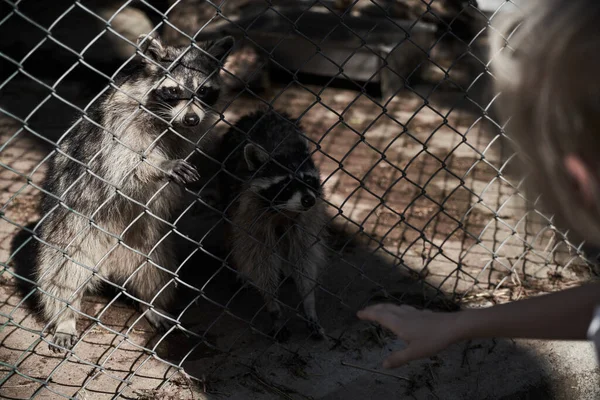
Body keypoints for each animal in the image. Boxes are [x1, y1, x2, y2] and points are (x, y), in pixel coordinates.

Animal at [35, 35, 236, 354]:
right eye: (174, 91)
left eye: (204, 91)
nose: (191, 119)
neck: (167, 119)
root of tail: (109, 264)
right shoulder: (120, 122)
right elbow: (124, 165)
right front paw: (158, 165)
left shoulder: (194, 132)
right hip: (71, 229)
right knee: (60, 273)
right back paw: (64, 316)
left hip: (148, 245)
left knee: (157, 273)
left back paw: (154, 305)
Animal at [218, 109, 326, 340]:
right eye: (286, 185)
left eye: (308, 180)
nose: (308, 200)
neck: (284, 209)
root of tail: (259, 112)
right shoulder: (249, 210)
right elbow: (260, 259)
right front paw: (273, 307)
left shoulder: (306, 218)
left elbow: (304, 255)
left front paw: (308, 301)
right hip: (226, 186)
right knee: (230, 228)